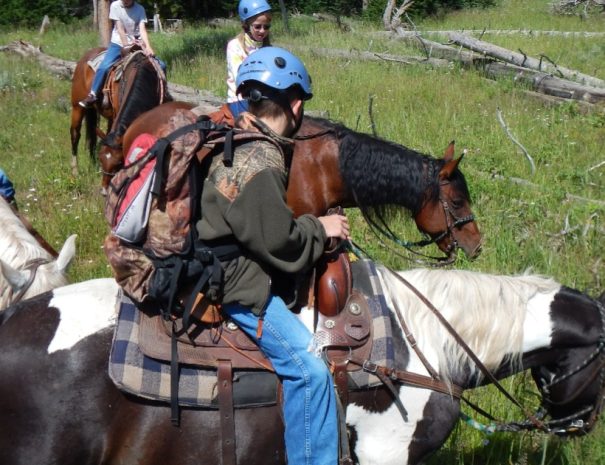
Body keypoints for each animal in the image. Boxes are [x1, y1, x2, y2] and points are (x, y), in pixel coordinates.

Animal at [71, 46, 170, 178]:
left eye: (119, 163)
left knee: (92, 135)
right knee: (75, 134)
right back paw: (75, 170)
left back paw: (92, 164)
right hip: (77, 107)